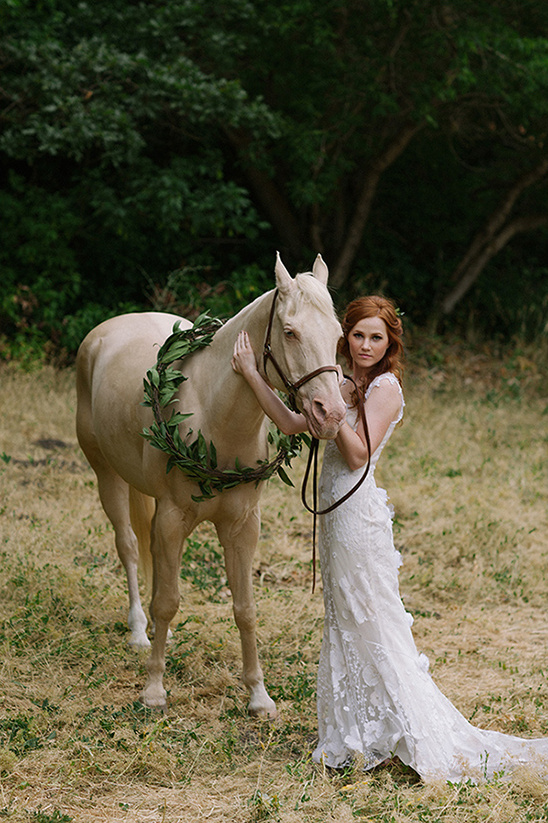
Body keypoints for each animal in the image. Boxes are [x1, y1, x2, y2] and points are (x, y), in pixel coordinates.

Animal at [76, 253, 345, 717]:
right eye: (289, 332)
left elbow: (245, 609)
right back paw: (139, 631)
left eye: (339, 335)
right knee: (128, 546)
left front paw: (258, 695)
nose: (329, 413)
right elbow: (167, 602)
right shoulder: (172, 520)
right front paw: (153, 690)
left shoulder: (242, 527)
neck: (214, 415)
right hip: (107, 476)